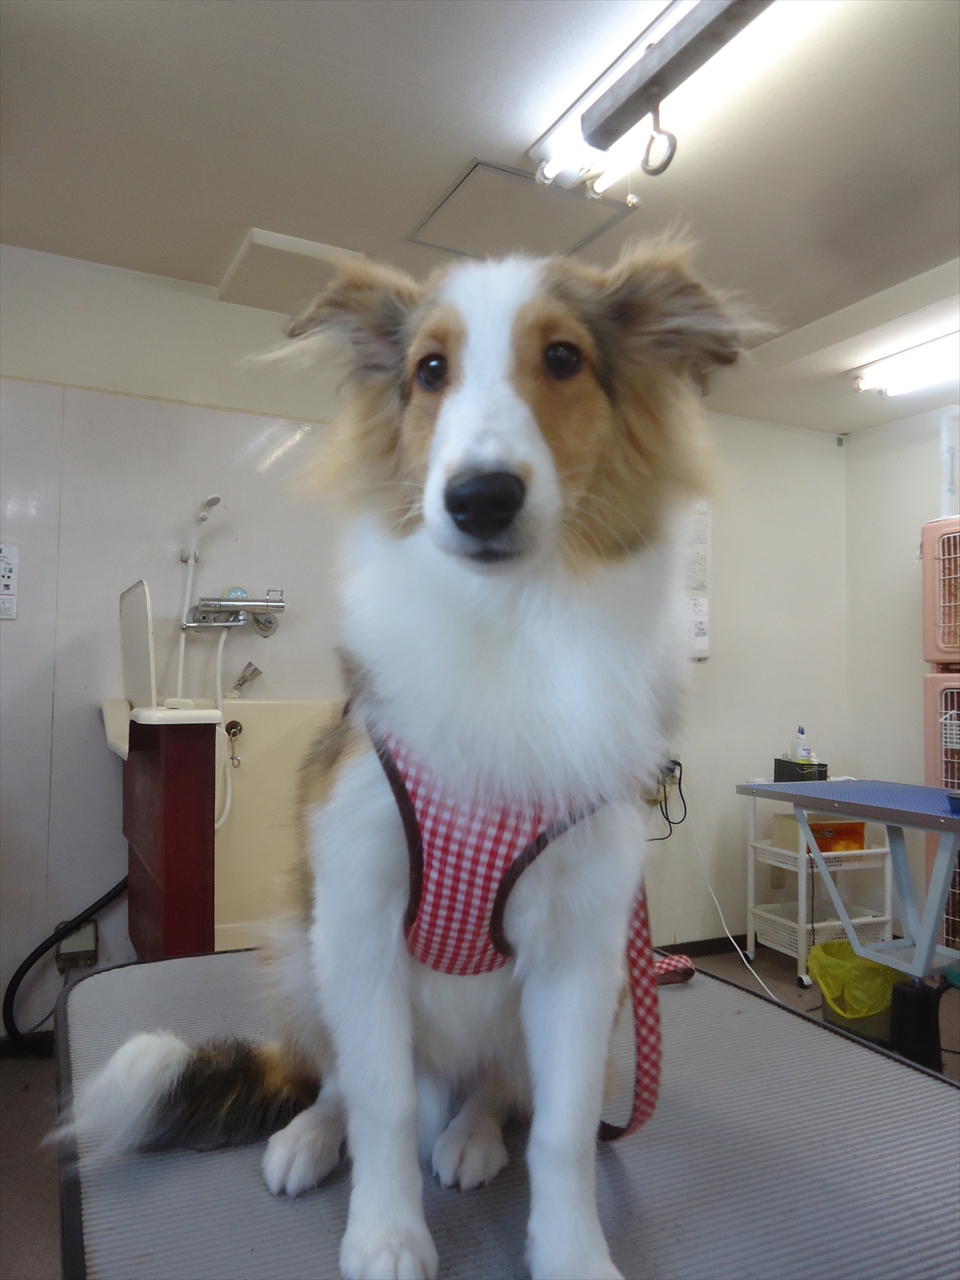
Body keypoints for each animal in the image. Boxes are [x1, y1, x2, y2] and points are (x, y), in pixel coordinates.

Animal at [58, 241, 744, 1280]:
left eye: (564, 358)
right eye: (430, 370)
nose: (480, 497)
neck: (504, 632)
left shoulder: (584, 951)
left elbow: (566, 1132)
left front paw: (571, 1252)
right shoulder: (359, 913)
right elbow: (378, 1101)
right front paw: (384, 1233)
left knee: (497, 1087)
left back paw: (471, 1133)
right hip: (303, 950)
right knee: (342, 1080)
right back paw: (313, 1136)